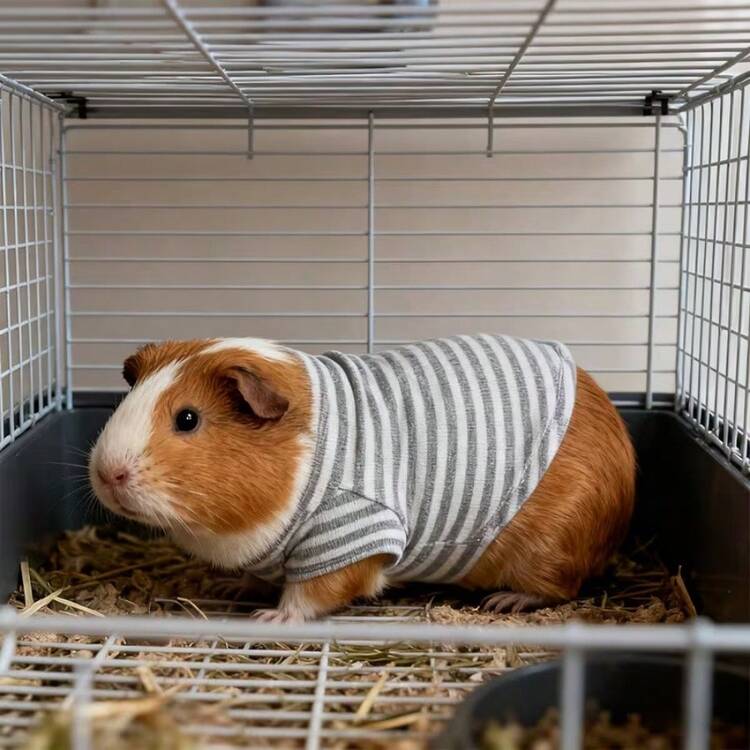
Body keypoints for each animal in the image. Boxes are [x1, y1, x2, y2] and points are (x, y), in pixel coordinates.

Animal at [89, 335, 635, 622]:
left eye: (187, 419)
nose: (107, 473)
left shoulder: (350, 539)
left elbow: (312, 593)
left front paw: (271, 617)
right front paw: (232, 589)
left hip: (546, 549)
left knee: (559, 588)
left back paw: (505, 600)